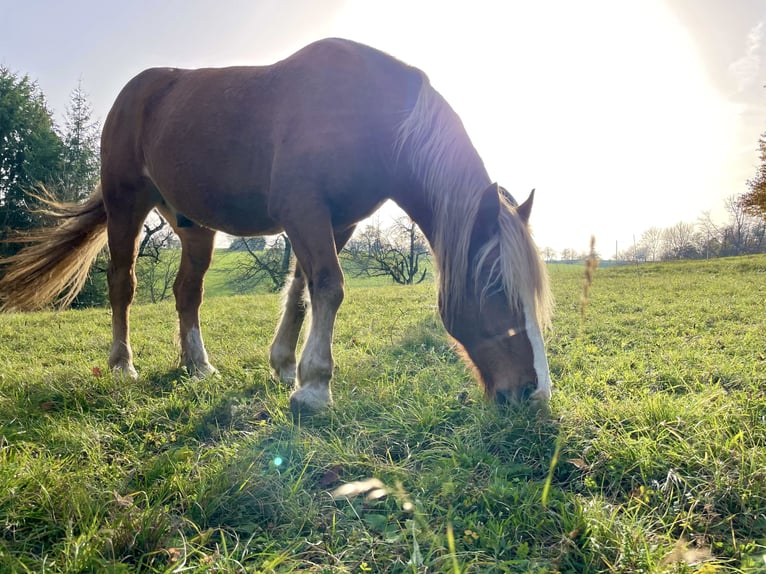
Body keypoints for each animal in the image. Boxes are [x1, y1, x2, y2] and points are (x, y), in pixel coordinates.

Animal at [0, 37, 552, 414]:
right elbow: (329, 285)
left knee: (187, 292)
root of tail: (135, 91)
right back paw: (122, 365)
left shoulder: (337, 222)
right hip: (126, 207)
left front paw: (286, 366)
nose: (535, 393)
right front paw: (315, 386)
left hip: (194, 227)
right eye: (496, 290)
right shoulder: (304, 211)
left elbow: (304, 291)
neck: (369, 114)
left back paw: (198, 365)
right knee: (123, 283)